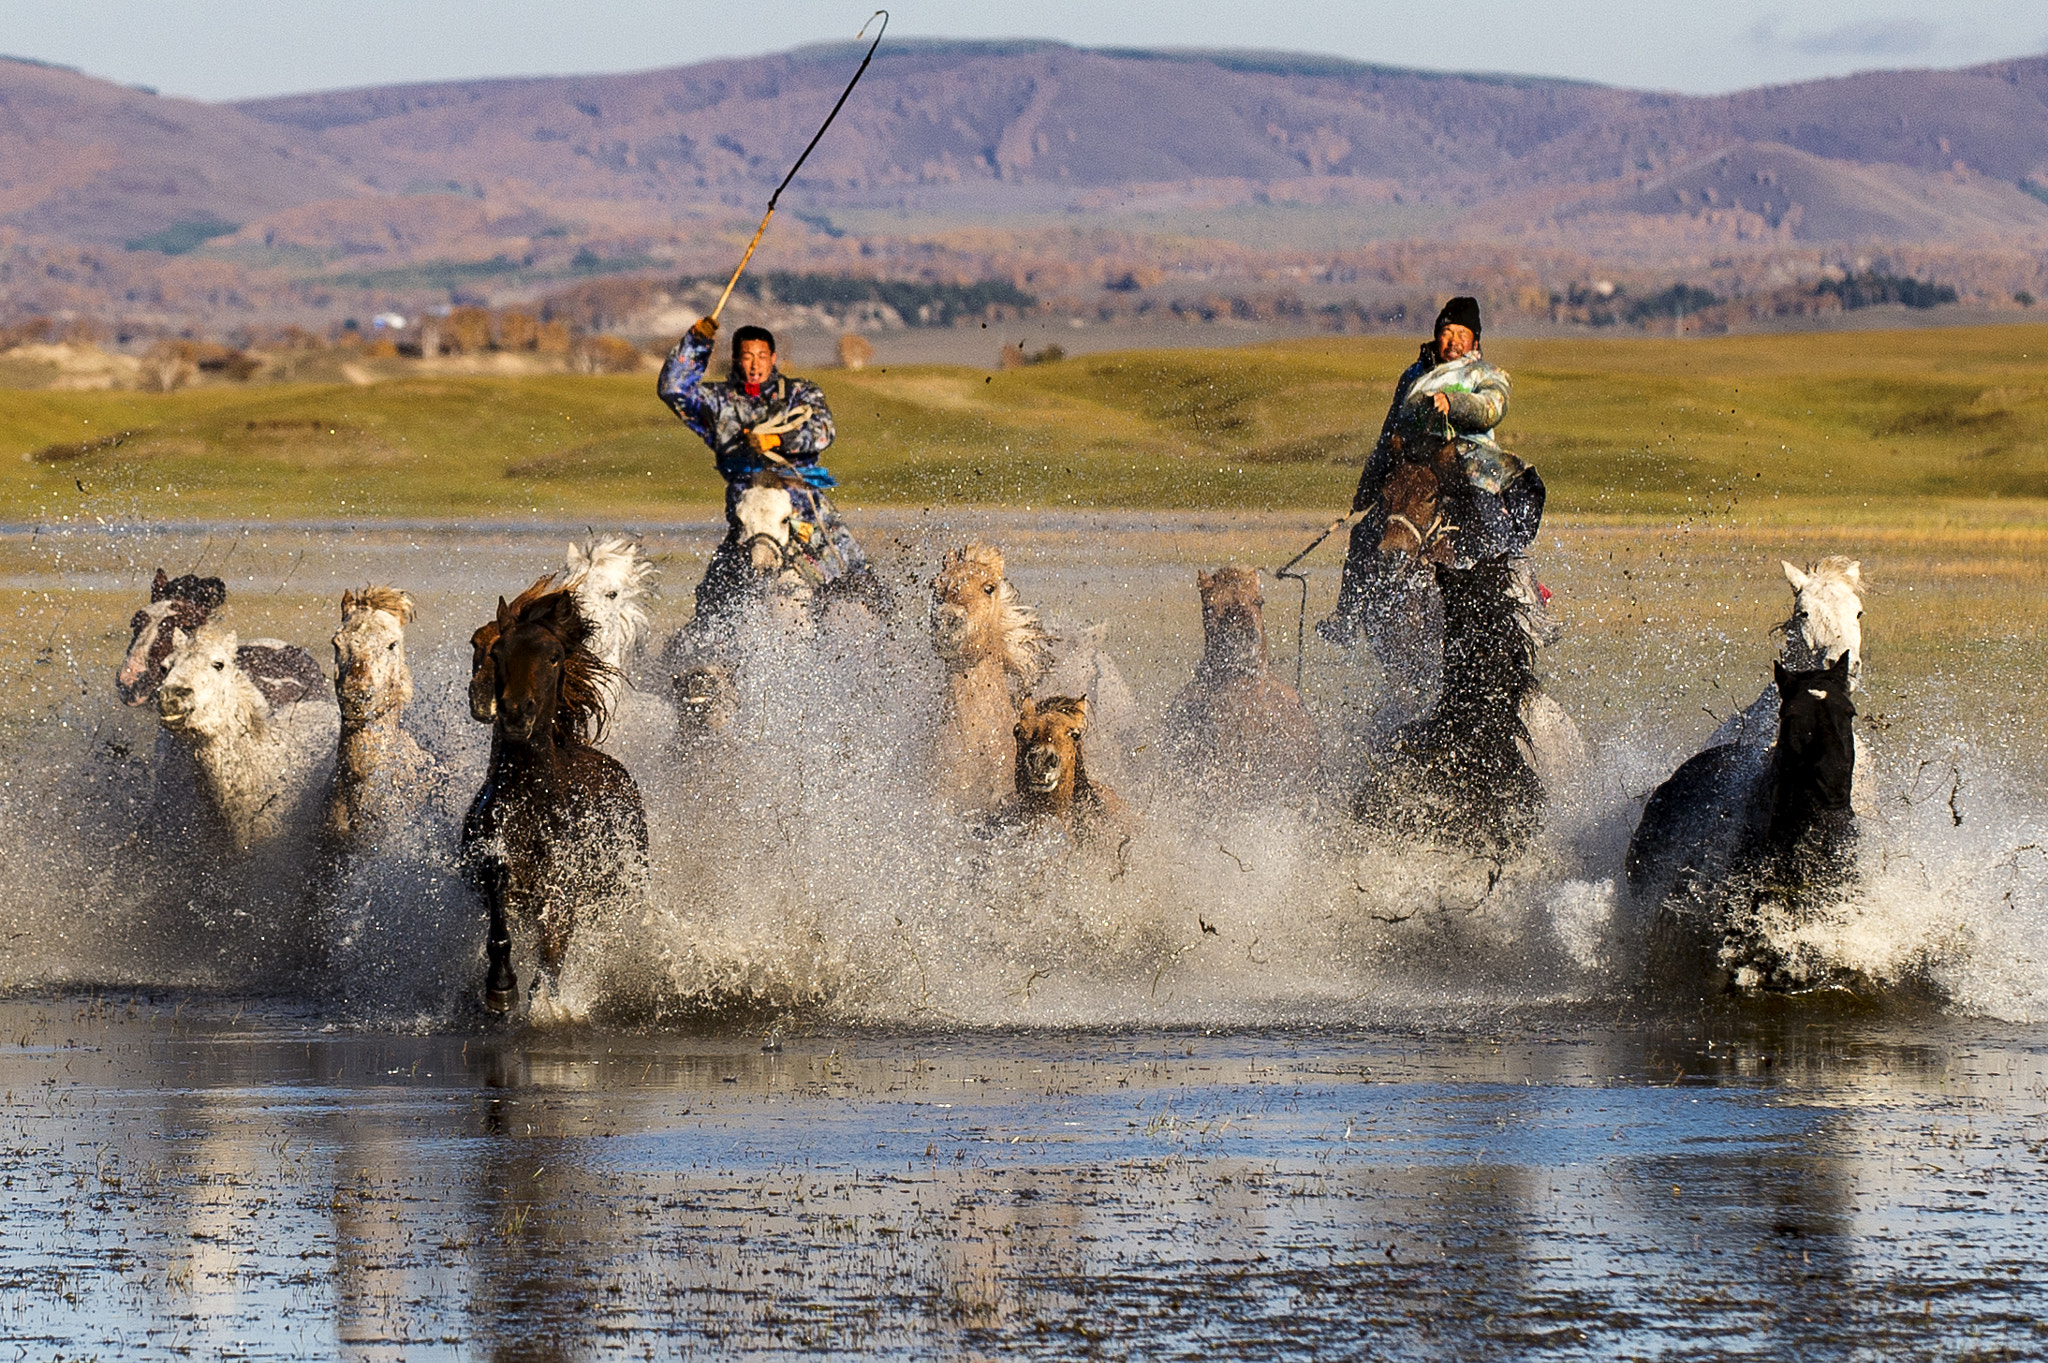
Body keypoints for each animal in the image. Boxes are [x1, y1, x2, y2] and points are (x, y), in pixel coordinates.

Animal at [461, 588, 648, 1014]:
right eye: (498, 651)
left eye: (554, 656)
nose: (515, 713)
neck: (533, 801)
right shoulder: (496, 873)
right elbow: (500, 926)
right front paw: (500, 989)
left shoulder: (563, 889)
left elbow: (552, 954)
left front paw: (545, 1005)